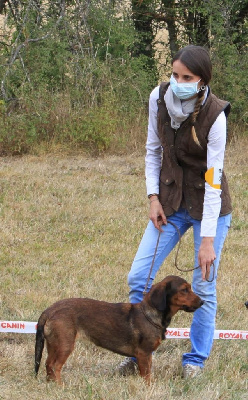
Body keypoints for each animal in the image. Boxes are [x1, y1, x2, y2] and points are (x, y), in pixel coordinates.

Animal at [34, 276, 202, 384]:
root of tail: (49, 310)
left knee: (48, 364)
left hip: (53, 345)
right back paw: (60, 386)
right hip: (65, 345)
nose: (202, 302)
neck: (149, 314)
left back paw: (50, 384)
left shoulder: (146, 355)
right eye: (184, 290)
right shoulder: (144, 354)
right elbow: (146, 376)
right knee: (55, 366)